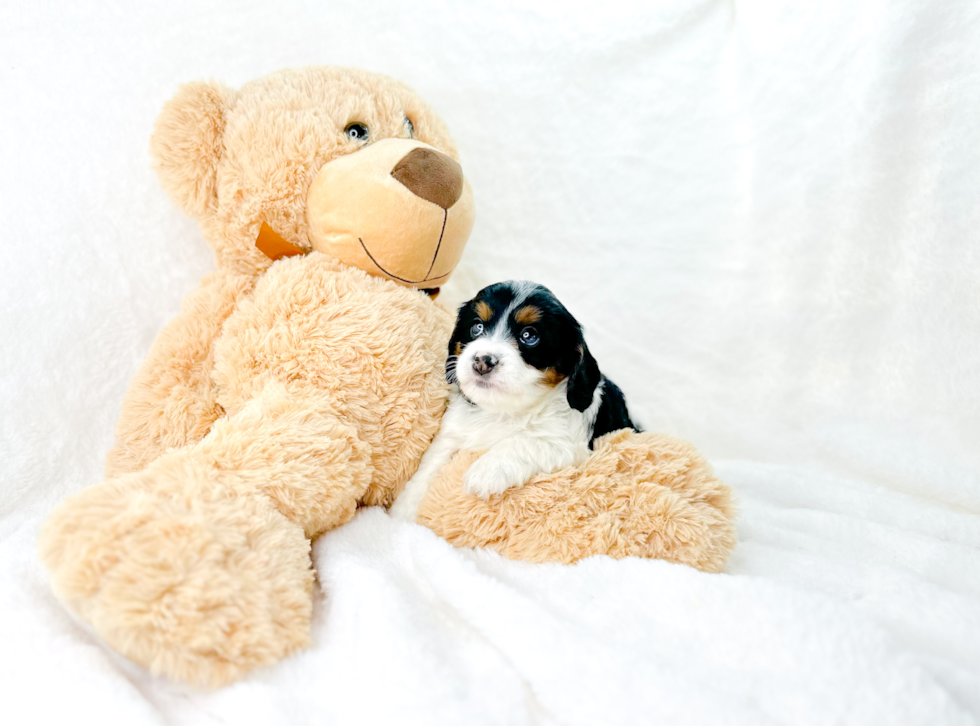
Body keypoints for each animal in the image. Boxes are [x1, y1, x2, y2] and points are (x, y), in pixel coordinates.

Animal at [386, 280, 640, 524]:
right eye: (477, 327)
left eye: (529, 336)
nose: (482, 361)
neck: (503, 410)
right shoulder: (453, 432)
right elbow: (431, 464)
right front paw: (403, 510)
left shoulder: (568, 445)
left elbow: (525, 441)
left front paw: (486, 471)